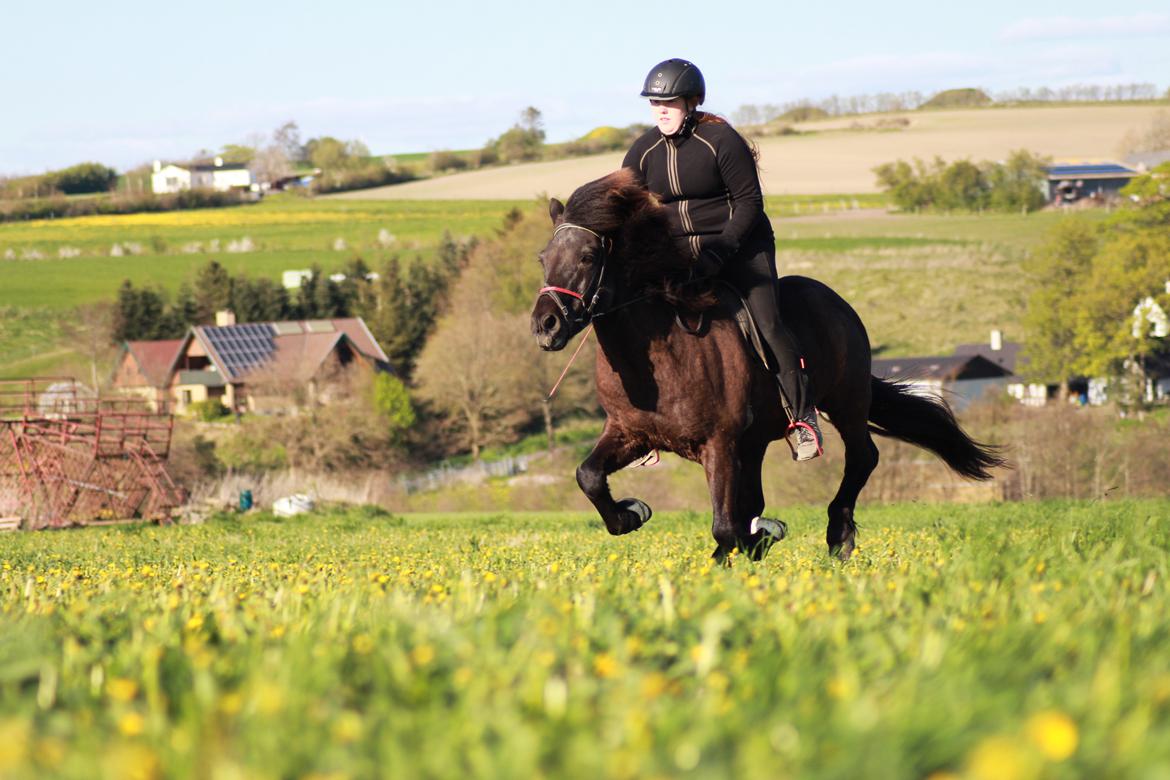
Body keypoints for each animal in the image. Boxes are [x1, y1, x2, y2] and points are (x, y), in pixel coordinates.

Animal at [531, 169, 1006, 561]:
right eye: (543, 258)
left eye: (588, 257)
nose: (544, 324)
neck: (656, 357)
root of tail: (835, 301)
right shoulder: (630, 433)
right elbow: (588, 475)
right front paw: (632, 512)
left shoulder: (719, 444)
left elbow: (726, 527)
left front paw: (763, 535)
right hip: (757, 439)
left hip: (845, 401)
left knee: (863, 456)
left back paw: (838, 535)